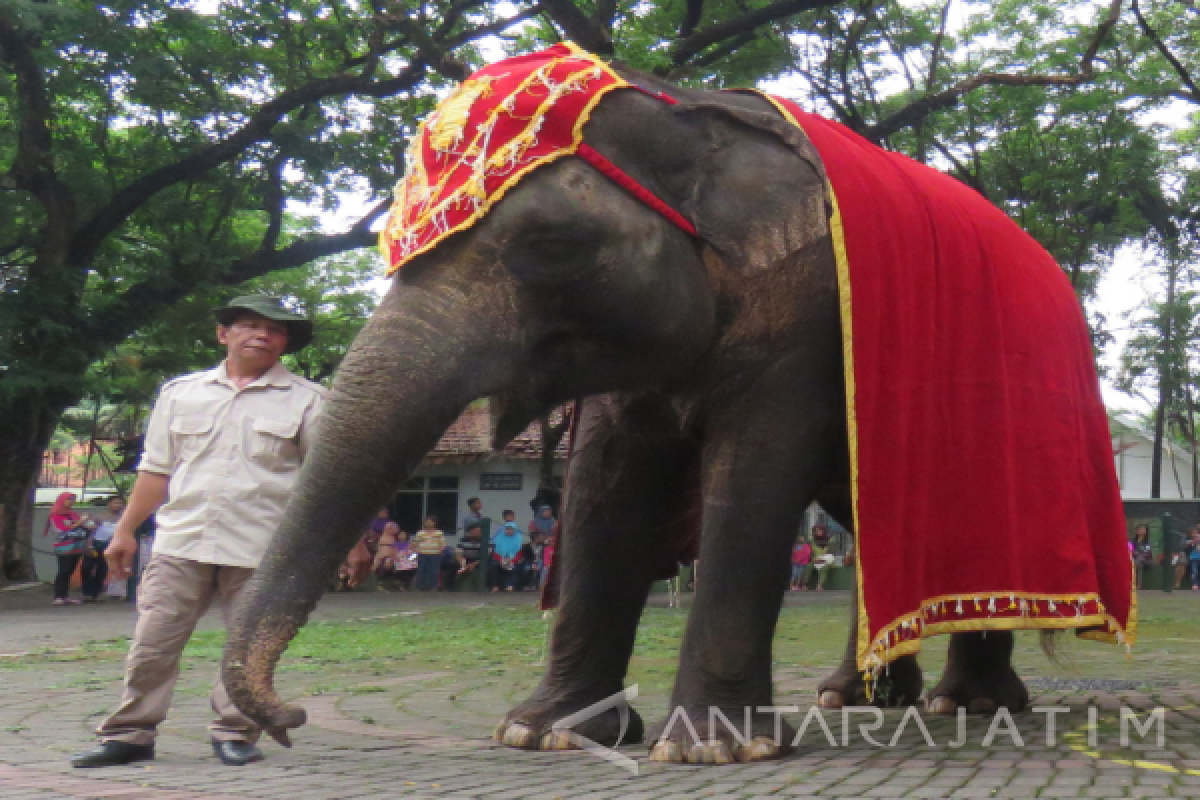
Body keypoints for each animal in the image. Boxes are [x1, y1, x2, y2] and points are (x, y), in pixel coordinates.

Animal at [225, 48, 1099, 762]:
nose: (287, 719)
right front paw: (543, 733)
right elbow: (602, 486)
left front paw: (715, 749)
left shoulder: (805, 312)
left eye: (551, 245)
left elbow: (754, 477)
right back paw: (860, 698)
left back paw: (969, 705)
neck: (689, 109)